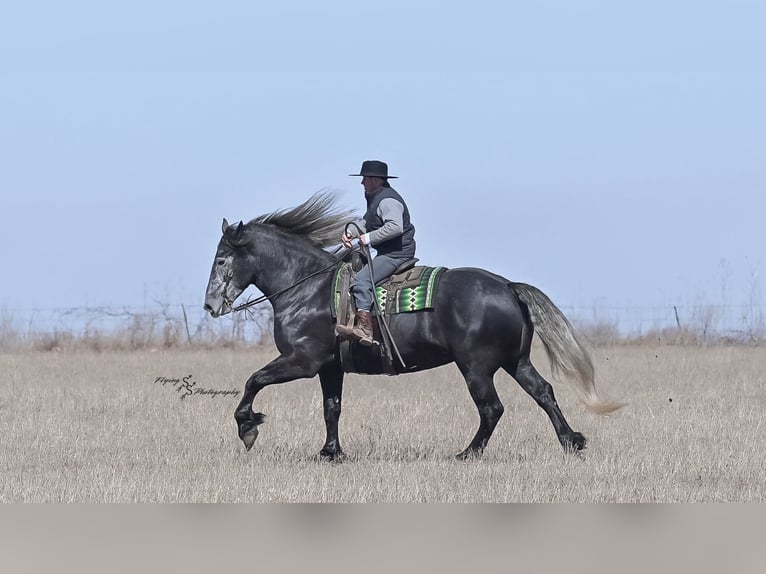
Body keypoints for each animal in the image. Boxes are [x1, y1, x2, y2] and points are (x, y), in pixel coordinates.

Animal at [204, 192, 621, 460]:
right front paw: (330, 452)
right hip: (515, 361)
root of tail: (506, 285)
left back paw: (467, 454)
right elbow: (331, 408)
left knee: (492, 408)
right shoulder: (329, 367)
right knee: (544, 393)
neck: (308, 288)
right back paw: (572, 441)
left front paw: (248, 427)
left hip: (476, 367)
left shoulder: (302, 361)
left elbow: (253, 381)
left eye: (222, 259)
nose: (210, 305)